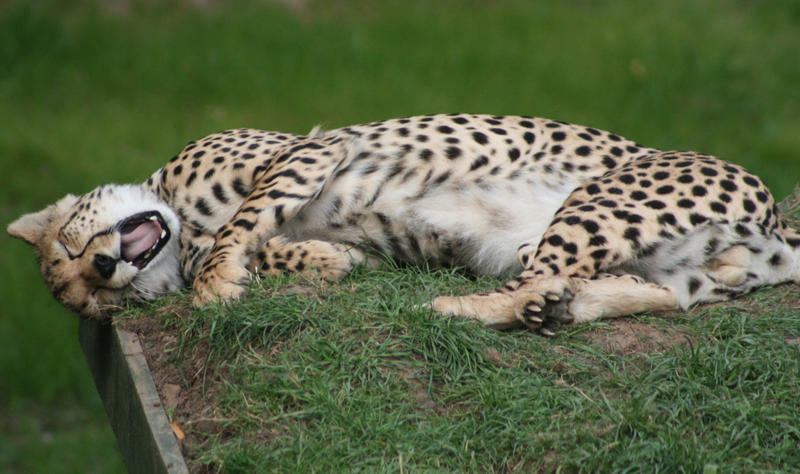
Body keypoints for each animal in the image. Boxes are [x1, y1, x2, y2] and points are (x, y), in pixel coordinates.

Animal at [9, 114, 800, 335]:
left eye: (73, 244)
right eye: (92, 301)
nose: (105, 267)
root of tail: (774, 214)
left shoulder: (310, 151)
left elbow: (245, 218)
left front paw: (217, 282)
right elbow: (278, 247)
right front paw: (325, 264)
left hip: (599, 198)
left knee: (538, 274)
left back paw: (451, 307)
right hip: (676, 266)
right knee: (662, 294)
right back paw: (556, 305)